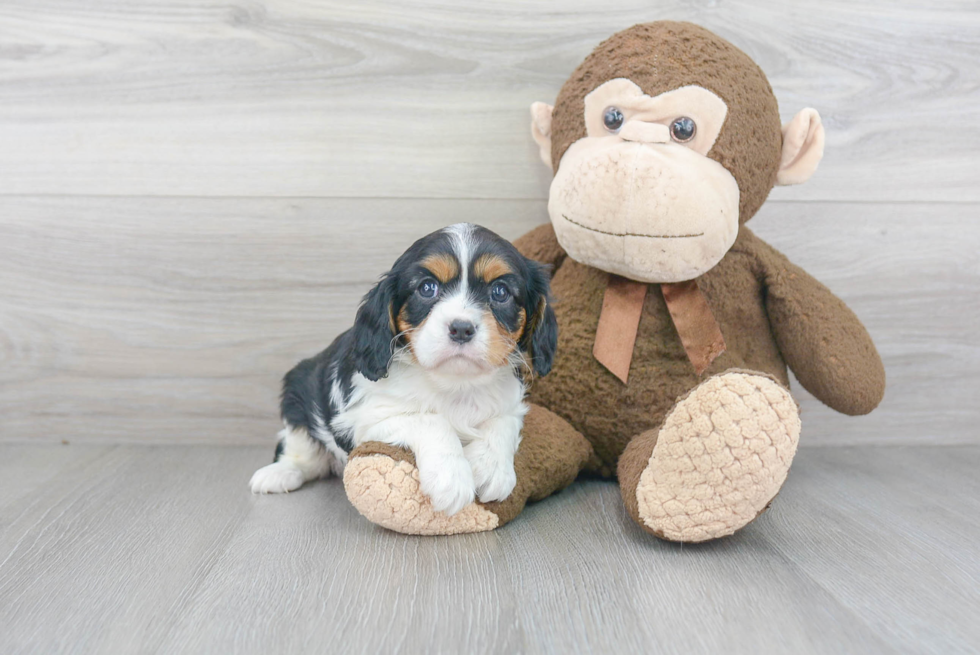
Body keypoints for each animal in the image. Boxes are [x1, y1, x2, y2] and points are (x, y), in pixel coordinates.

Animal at [251, 223, 560, 516]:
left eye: (500, 292)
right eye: (427, 288)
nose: (461, 328)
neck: (455, 383)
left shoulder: (511, 404)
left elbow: (502, 423)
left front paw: (491, 469)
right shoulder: (366, 419)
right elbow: (430, 420)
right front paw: (452, 478)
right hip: (297, 394)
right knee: (301, 451)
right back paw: (278, 474)